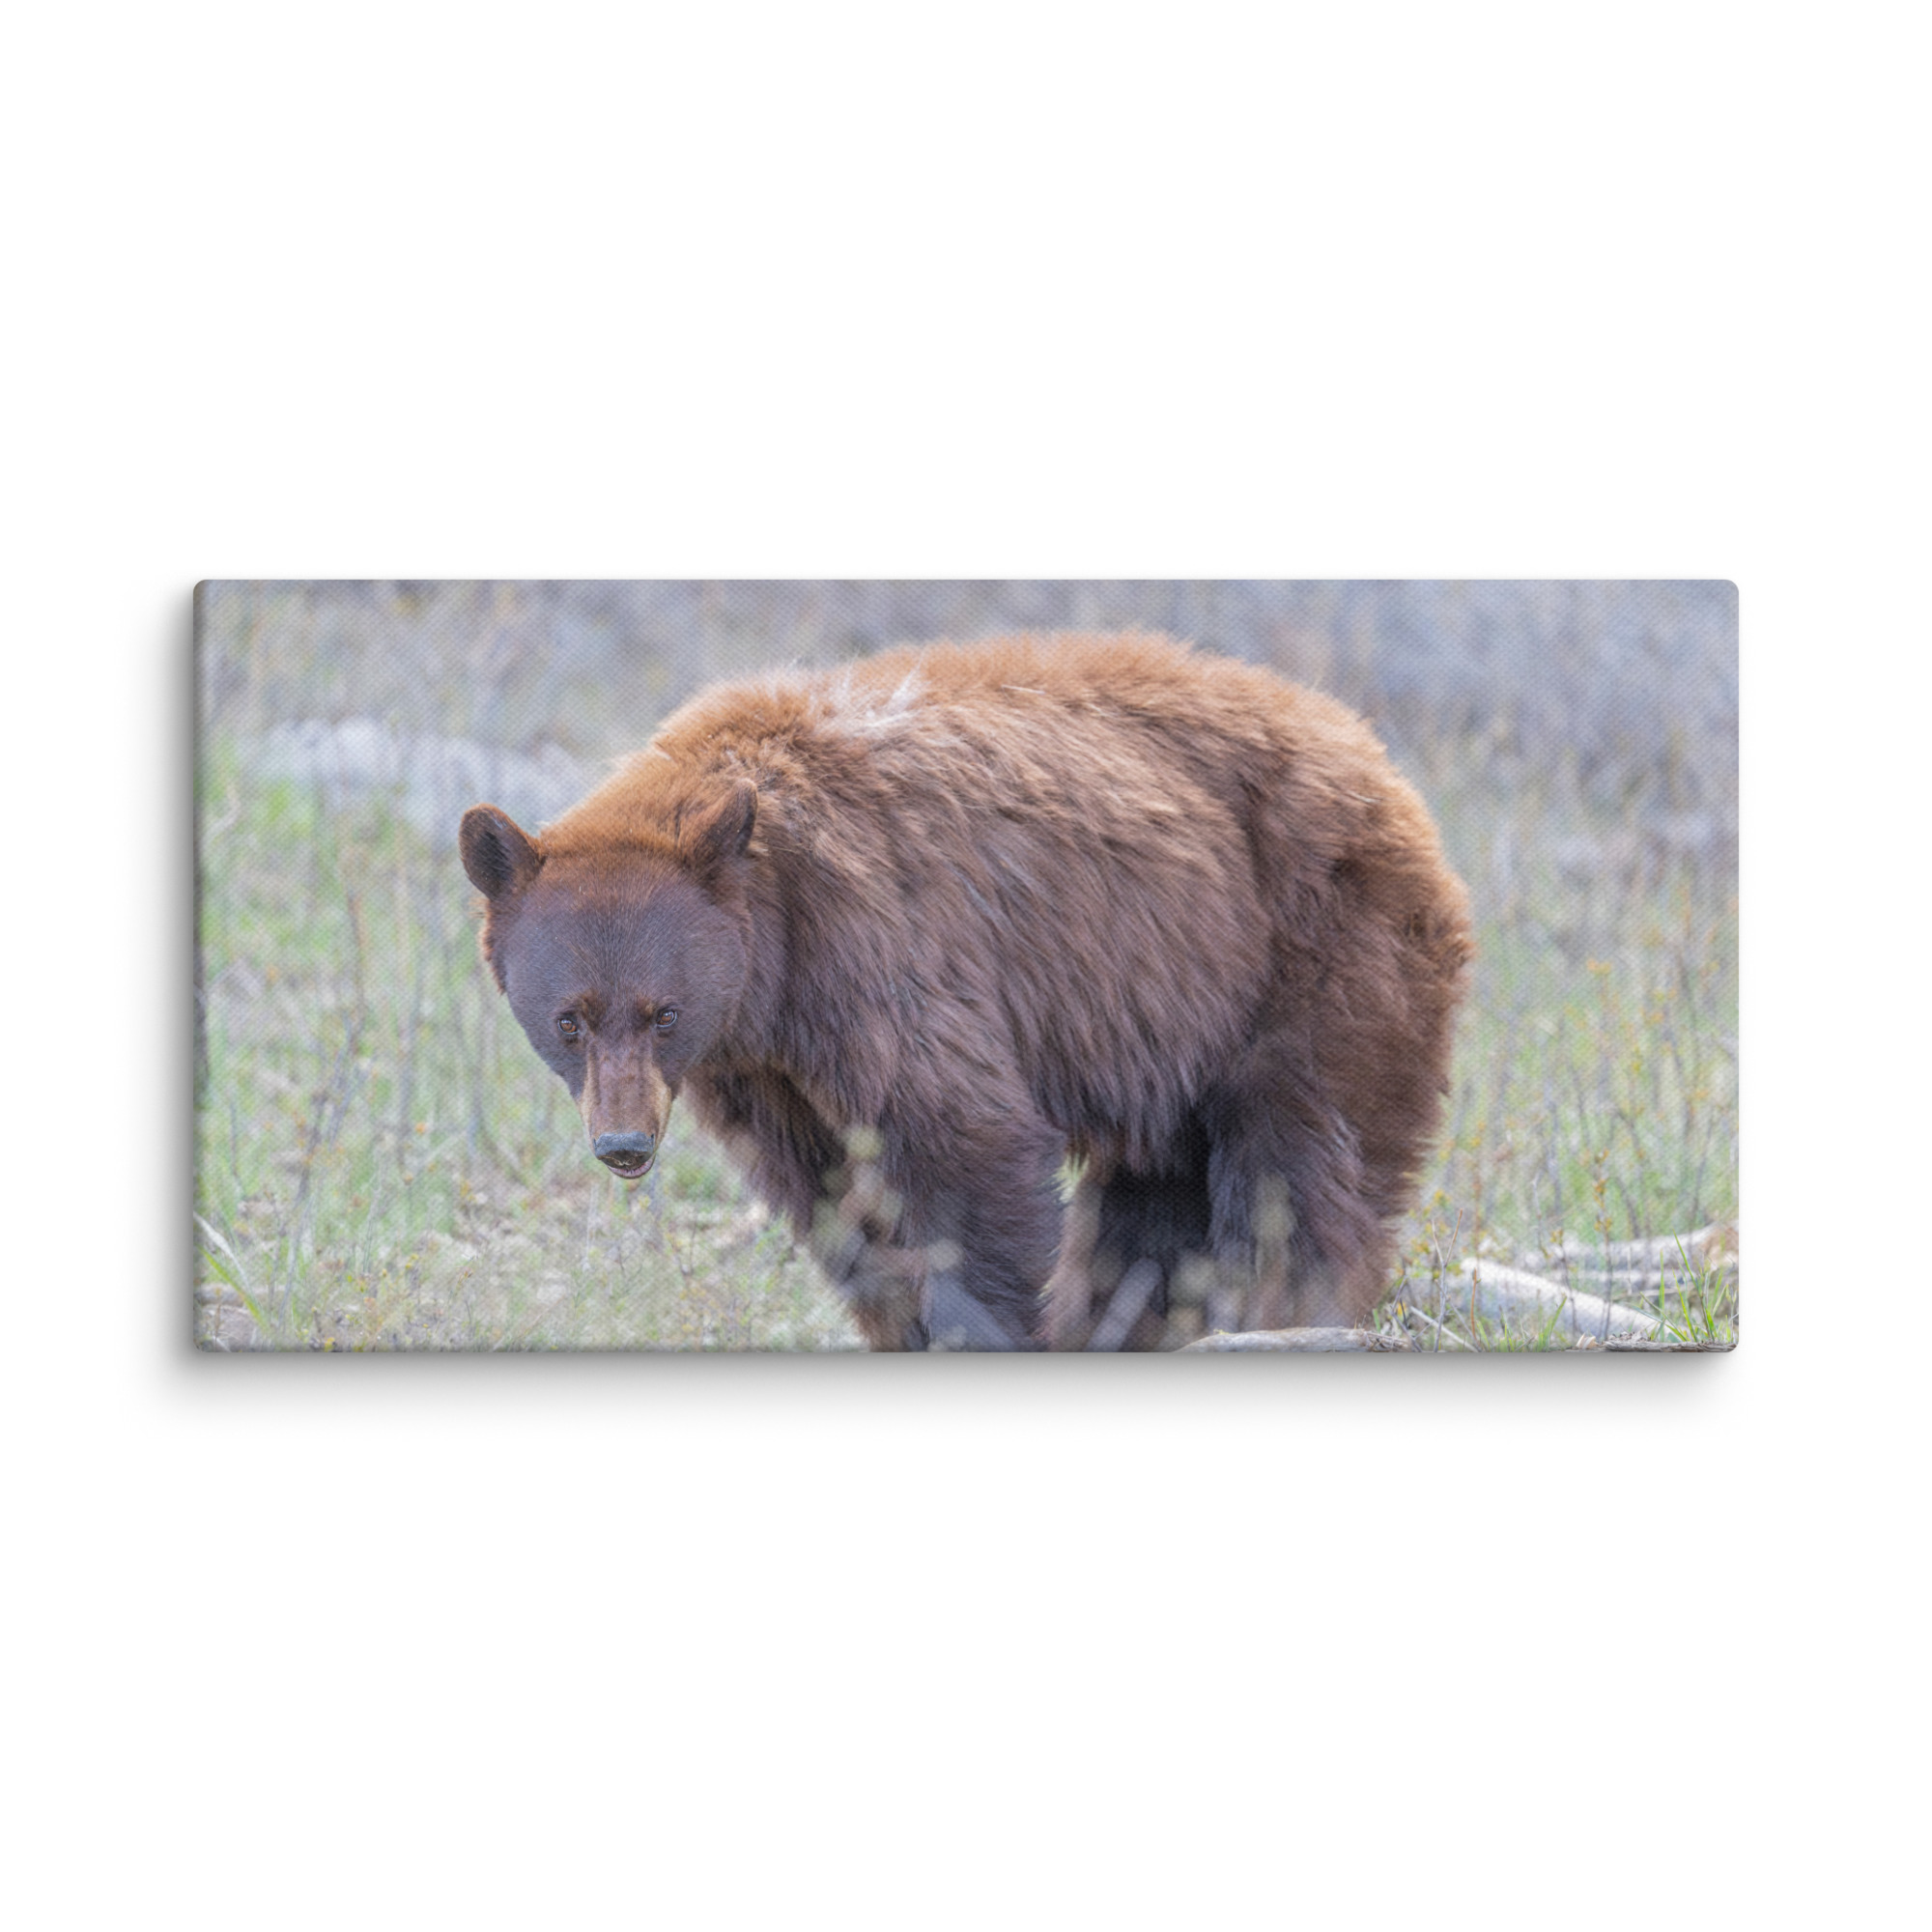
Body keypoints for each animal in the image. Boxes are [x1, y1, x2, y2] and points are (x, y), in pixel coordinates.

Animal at [459, 633, 1472, 1350]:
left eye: (662, 1014)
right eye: (569, 1021)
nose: (624, 1145)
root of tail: (1374, 754)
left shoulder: (879, 950)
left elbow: (961, 1142)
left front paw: (981, 1328)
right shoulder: (765, 1067)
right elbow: (832, 1193)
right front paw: (899, 1322)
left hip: (1311, 954)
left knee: (1299, 1166)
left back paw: (1280, 1314)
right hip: (1175, 1022)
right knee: (1157, 1196)